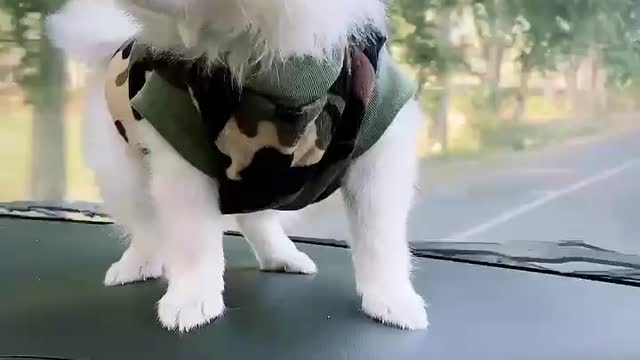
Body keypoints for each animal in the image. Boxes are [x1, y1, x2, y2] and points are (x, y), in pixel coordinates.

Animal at [47, 0, 428, 332]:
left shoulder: (380, 143)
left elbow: (379, 234)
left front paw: (393, 300)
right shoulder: (180, 145)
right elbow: (192, 237)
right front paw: (191, 299)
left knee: (255, 218)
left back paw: (282, 257)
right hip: (124, 172)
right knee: (147, 225)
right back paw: (136, 265)